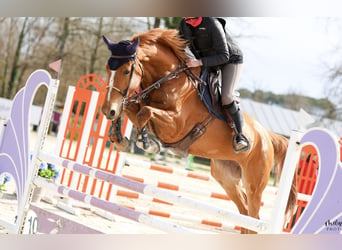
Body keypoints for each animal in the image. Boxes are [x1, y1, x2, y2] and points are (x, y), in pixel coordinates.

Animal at [100, 28, 296, 233]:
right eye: (107, 68)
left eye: (126, 71)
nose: (106, 110)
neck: (169, 81)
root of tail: (268, 137)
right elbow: (130, 107)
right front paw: (119, 138)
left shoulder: (176, 127)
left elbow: (144, 112)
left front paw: (147, 142)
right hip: (226, 177)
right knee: (244, 214)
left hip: (254, 184)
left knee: (253, 217)